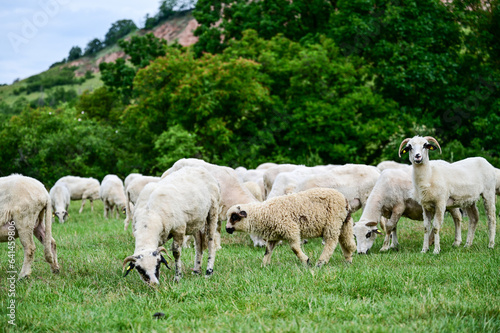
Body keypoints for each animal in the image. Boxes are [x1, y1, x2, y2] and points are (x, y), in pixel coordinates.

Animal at [225, 187, 358, 268]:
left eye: (234, 217)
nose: (226, 229)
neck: (264, 213)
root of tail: (345, 200)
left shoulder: (291, 229)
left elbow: (295, 248)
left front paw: (306, 261)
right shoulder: (274, 235)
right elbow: (268, 250)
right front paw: (264, 265)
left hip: (332, 222)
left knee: (331, 242)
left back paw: (321, 262)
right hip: (343, 224)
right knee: (346, 241)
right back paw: (349, 259)